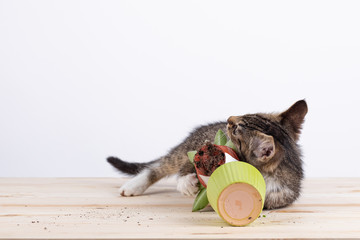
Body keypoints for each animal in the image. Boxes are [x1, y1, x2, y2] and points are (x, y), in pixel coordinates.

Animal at [107, 99, 306, 208]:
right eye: (247, 113)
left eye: (237, 130)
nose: (229, 118)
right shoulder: (202, 149)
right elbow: (187, 168)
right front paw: (187, 184)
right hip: (190, 145)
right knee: (161, 165)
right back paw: (134, 186)